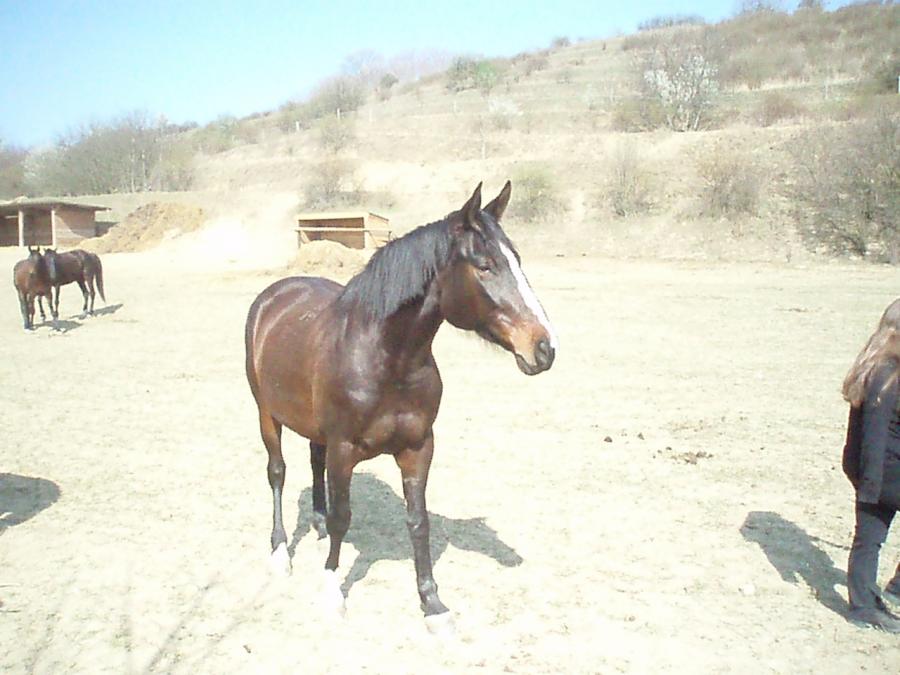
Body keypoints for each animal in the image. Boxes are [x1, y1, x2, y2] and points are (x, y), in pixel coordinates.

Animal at [245, 182, 557, 630]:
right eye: (484, 266)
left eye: (516, 260)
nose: (544, 347)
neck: (386, 357)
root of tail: (274, 296)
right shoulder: (344, 449)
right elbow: (344, 517)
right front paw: (331, 592)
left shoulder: (417, 447)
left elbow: (418, 520)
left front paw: (432, 603)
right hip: (267, 416)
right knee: (278, 474)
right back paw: (279, 553)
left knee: (314, 462)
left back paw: (315, 523)